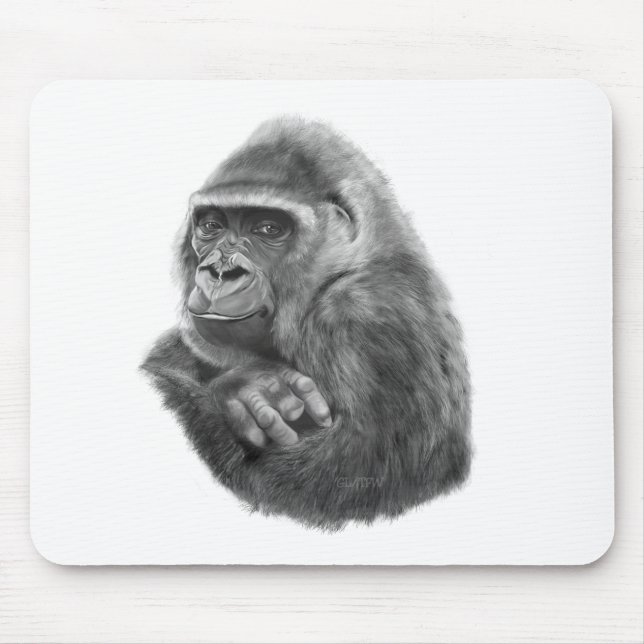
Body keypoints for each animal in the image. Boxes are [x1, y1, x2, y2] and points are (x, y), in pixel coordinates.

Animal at [141, 116, 472, 530]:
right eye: (211, 225)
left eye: (269, 229)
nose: (220, 271)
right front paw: (249, 385)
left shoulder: (368, 313)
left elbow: (341, 483)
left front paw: (236, 392)